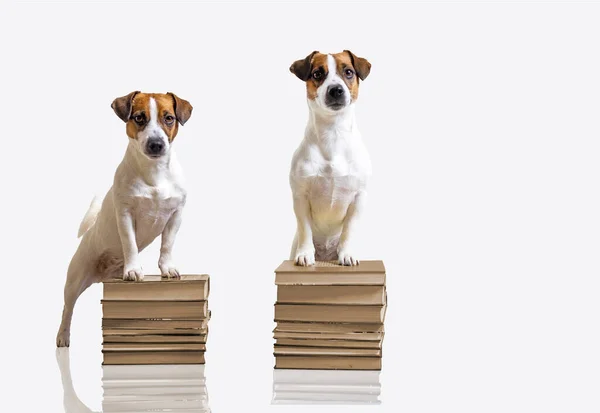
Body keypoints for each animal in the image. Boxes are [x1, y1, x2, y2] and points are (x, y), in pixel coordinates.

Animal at [55, 91, 192, 346]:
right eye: (139, 117)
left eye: (169, 118)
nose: (156, 144)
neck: (154, 172)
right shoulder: (125, 214)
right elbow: (130, 244)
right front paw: (133, 270)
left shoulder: (176, 214)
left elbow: (167, 244)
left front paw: (167, 268)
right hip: (74, 280)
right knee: (67, 309)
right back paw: (63, 336)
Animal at [290, 50, 370, 266]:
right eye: (317, 74)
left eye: (349, 72)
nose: (336, 90)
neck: (333, 134)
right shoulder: (300, 196)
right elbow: (305, 229)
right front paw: (305, 254)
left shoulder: (358, 198)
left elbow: (349, 230)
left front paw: (347, 254)